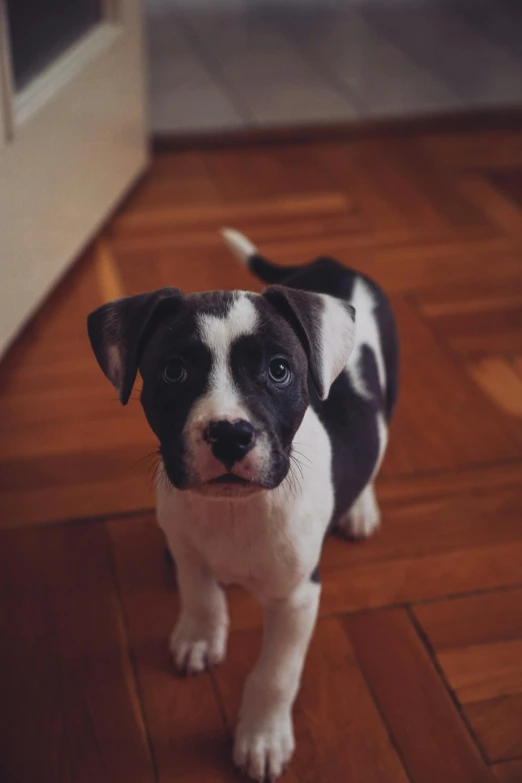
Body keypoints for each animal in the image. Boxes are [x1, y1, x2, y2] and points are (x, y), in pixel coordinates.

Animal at [88, 230, 398, 780]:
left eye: (279, 370)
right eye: (173, 371)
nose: (230, 434)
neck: (234, 512)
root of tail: (333, 264)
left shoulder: (297, 598)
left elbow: (274, 674)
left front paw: (262, 737)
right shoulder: (187, 547)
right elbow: (199, 594)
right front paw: (200, 635)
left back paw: (360, 507)